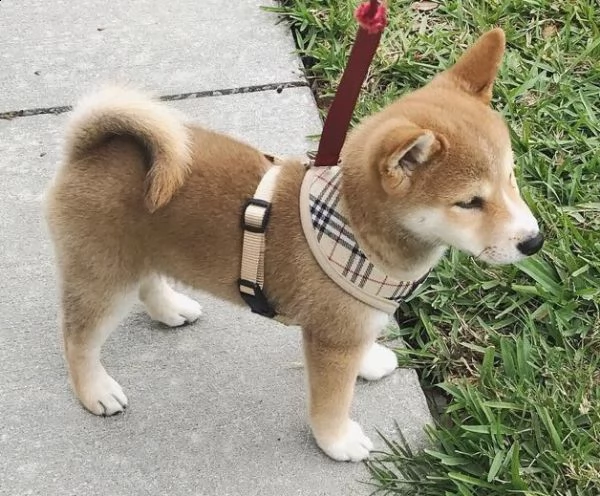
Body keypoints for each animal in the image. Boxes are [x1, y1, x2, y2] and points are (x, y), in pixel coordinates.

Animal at [45, 27, 544, 462]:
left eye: (511, 176)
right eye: (469, 202)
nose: (535, 241)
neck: (356, 227)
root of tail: (90, 150)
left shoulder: (349, 326)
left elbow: (361, 349)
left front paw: (369, 361)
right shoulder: (331, 340)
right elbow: (331, 400)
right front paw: (337, 440)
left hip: (140, 252)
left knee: (148, 281)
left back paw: (170, 309)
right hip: (103, 275)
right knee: (77, 339)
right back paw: (95, 391)